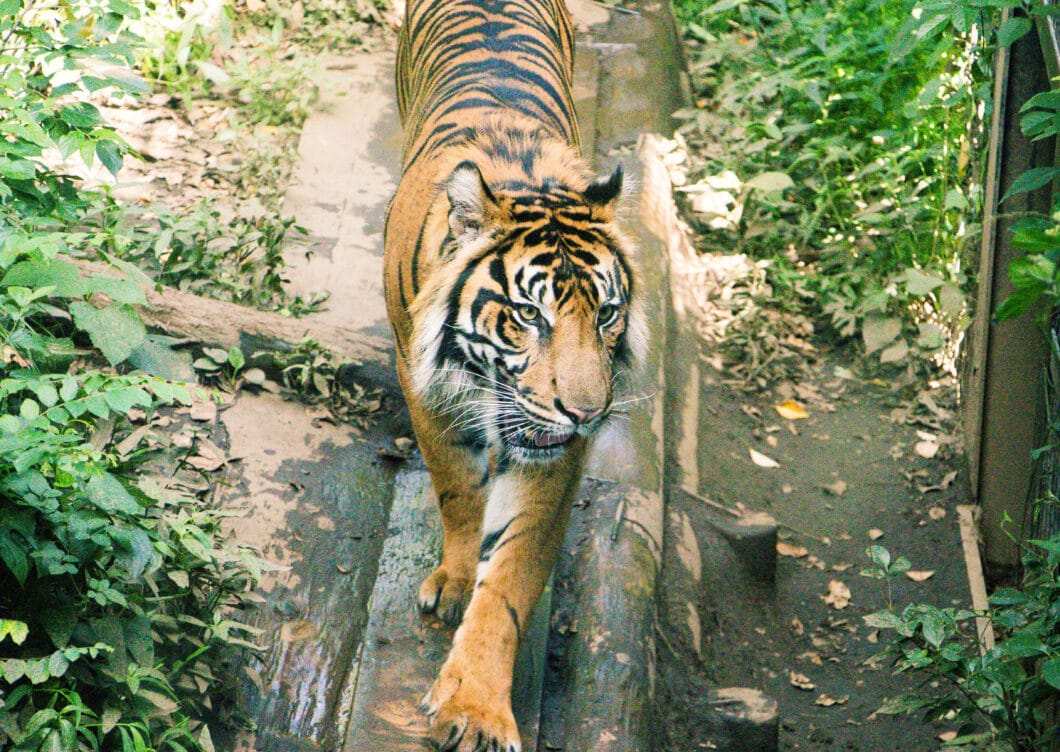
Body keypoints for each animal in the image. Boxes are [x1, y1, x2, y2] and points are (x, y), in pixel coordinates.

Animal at [383, 2, 644, 746]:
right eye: (530, 314)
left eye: (607, 313)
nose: (587, 412)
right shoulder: (427, 392)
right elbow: (458, 492)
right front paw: (454, 581)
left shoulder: (555, 452)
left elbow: (513, 572)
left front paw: (475, 709)